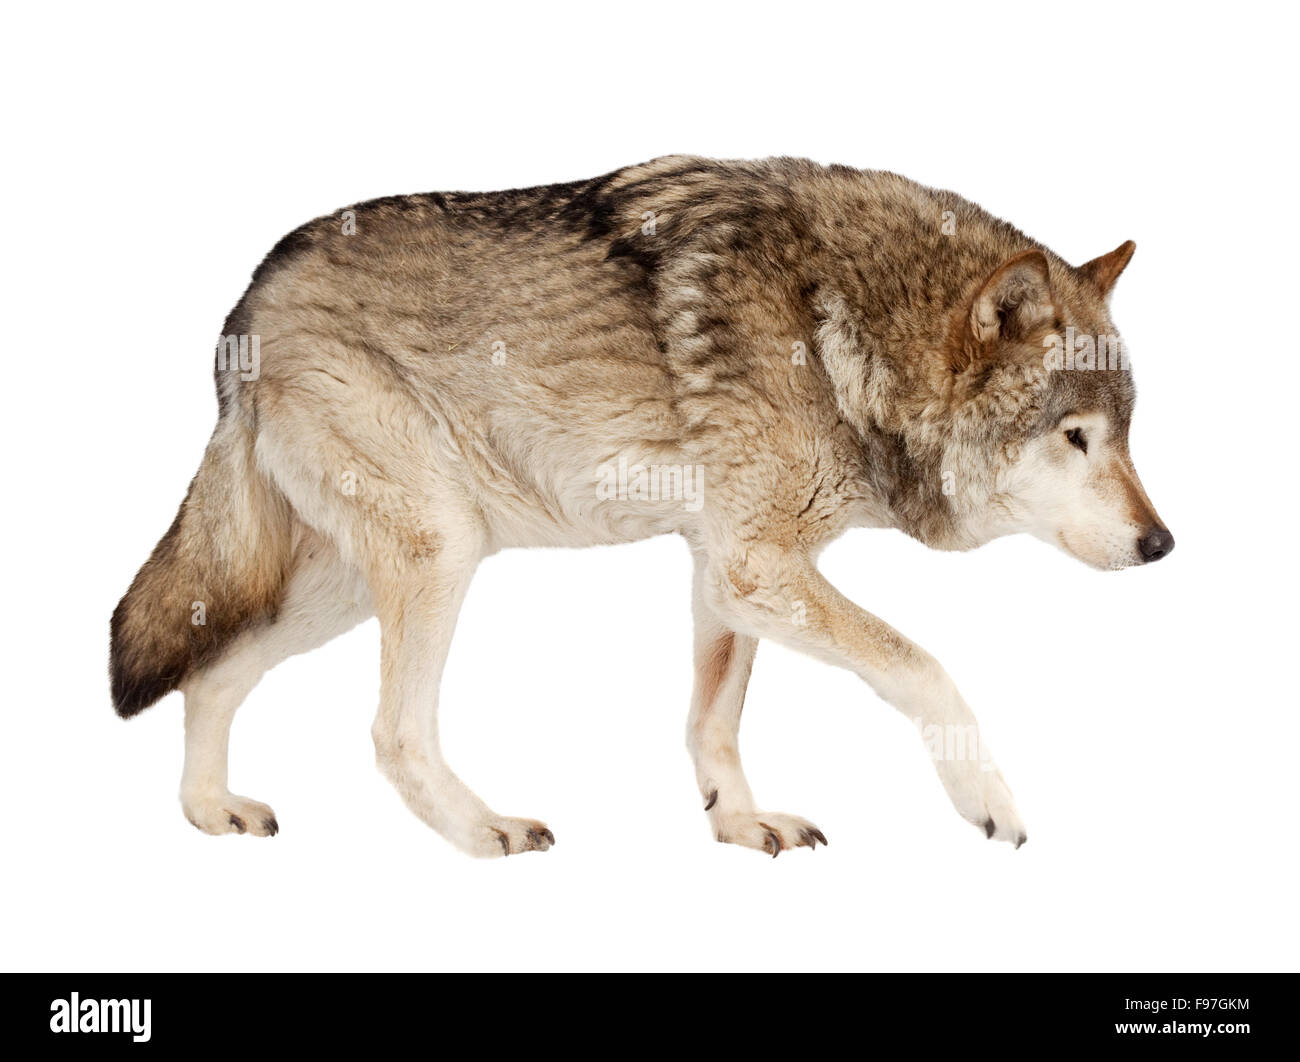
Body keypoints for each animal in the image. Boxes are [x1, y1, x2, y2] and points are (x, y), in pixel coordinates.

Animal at [110, 156, 1173, 856]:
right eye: (1076, 436)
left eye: (1126, 434)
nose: (1162, 543)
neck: (844, 335)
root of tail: (249, 296)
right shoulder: (759, 567)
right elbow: (926, 669)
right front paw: (989, 802)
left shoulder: (725, 571)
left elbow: (713, 722)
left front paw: (738, 822)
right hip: (439, 553)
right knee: (390, 733)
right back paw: (484, 829)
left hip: (351, 581)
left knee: (215, 673)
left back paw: (210, 812)